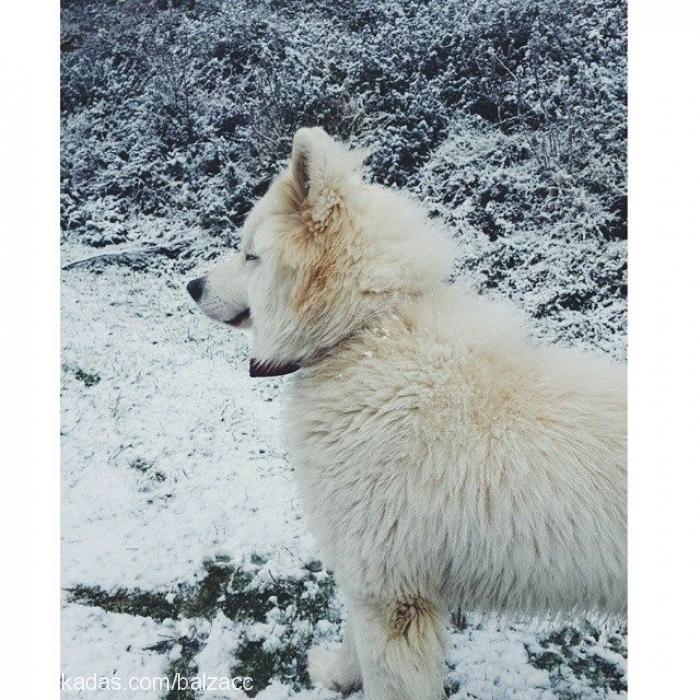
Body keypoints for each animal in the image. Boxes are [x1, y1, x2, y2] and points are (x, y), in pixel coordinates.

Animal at [189, 127, 628, 700]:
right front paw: (338, 676)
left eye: (250, 256)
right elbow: (352, 639)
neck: (363, 335)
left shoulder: (388, 592)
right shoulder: (373, 579)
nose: (192, 285)